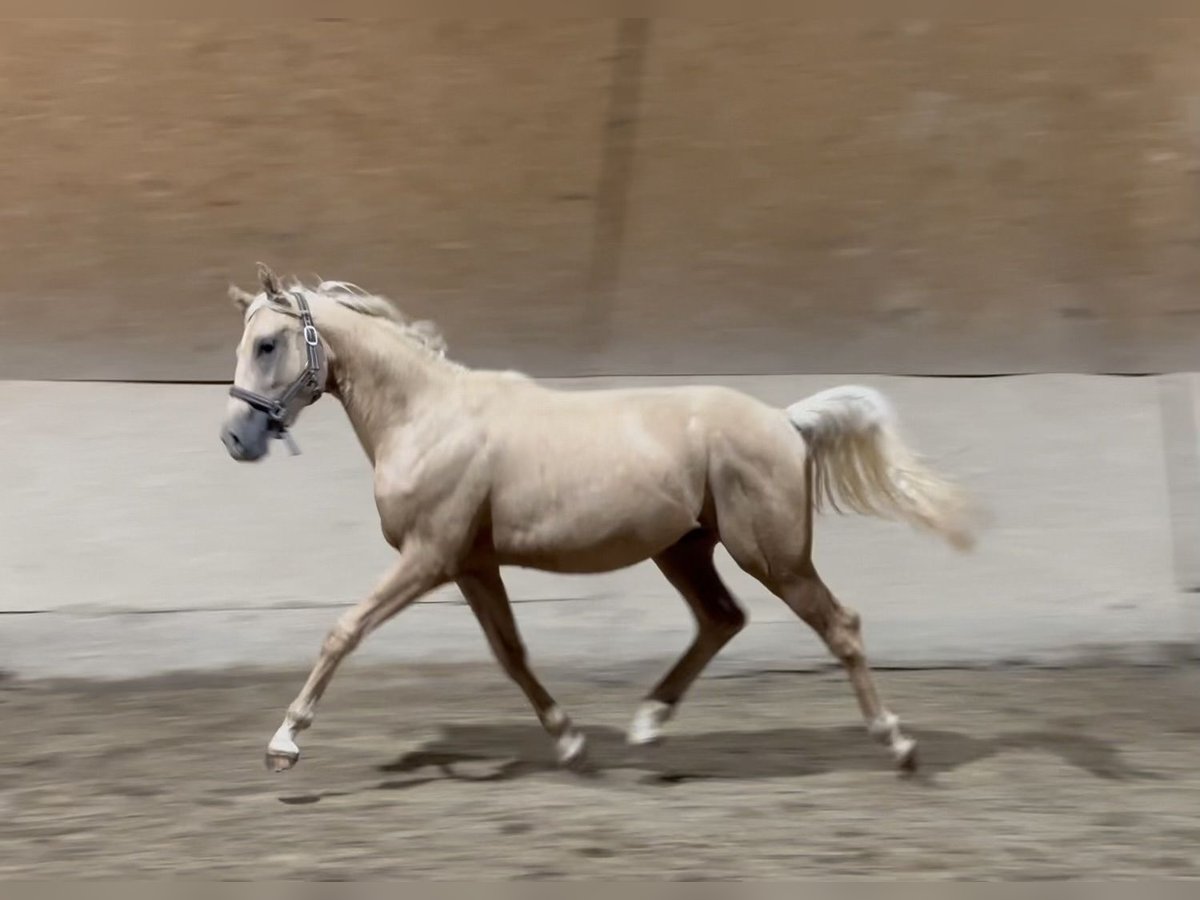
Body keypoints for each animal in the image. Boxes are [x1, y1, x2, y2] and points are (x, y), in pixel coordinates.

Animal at [223, 264, 974, 777]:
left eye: (267, 344)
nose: (235, 438)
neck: (428, 418)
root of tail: (786, 422)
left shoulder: (428, 556)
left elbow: (344, 629)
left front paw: (285, 742)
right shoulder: (471, 564)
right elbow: (512, 653)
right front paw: (571, 740)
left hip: (774, 556)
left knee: (838, 626)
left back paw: (898, 742)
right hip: (685, 550)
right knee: (721, 619)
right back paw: (647, 725)